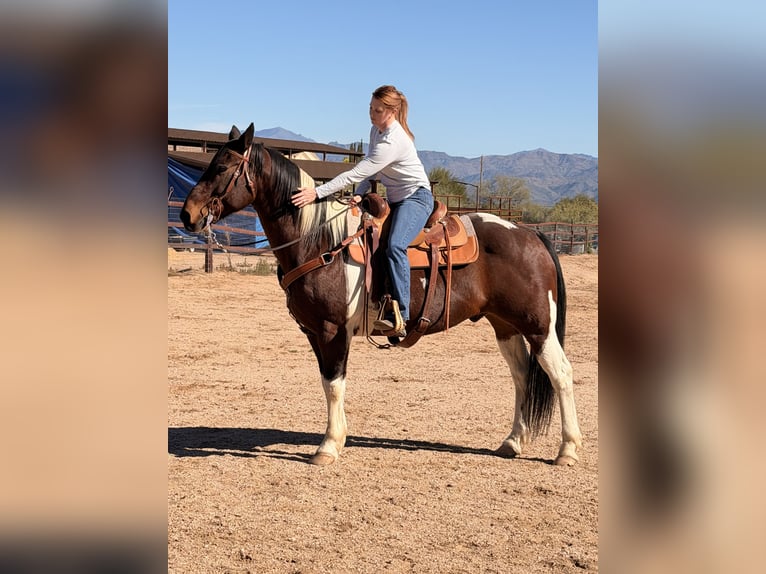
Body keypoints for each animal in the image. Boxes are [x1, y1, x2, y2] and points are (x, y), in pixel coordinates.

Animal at [180, 123, 583, 467]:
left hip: (539, 326)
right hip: (506, 325)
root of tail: (530, 234)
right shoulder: (313, 332)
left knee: (560, 373)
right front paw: (337, 438)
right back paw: (512, 441)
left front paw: (328, 446)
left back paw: (567, 450)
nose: (187, 215)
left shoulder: (332, 330)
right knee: (521, 376)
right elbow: (328, 383)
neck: (319, 241)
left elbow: (334, 384)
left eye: (221, 167)